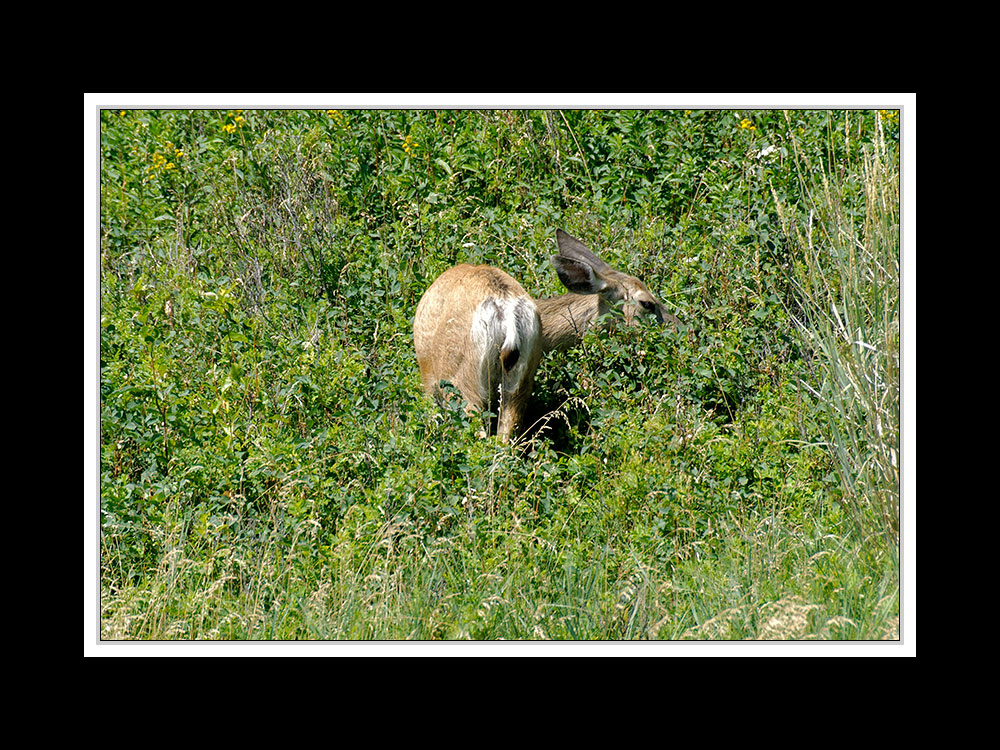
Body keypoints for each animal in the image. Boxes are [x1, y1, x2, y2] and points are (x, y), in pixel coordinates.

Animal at [408, 229, 680, 440]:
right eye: (647, 303)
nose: (682, 327)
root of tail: (506, 308)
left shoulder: (430, 383)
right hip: (518, 382)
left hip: (462, 381)